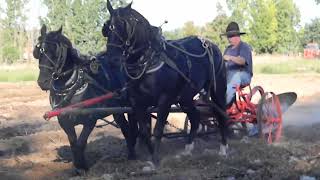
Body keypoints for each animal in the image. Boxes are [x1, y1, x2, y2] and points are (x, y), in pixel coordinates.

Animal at [32, 24, 132, 172]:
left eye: (56, 52)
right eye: (39, 52)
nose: (43, 82)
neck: (73, 86)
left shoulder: (90, 119)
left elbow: (81, 143)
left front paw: (83, 167)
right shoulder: (64, 120)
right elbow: (73, 143)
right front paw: (78, 166)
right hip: (117, 110)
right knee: (126, 127)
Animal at [102, 0, 228, 167]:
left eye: (125, 25)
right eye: (107, 27)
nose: (113, 60)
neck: (148, 62)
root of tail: (211, 44)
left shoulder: (165, 100)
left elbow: (157, 130)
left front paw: (155, 160)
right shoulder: (137, 103)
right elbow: (144, 131)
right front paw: (150, 156)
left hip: (217, 89)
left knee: (221, 114)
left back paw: (224, 148)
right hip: (185, 98)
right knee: (195, 118)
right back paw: (188, 148)